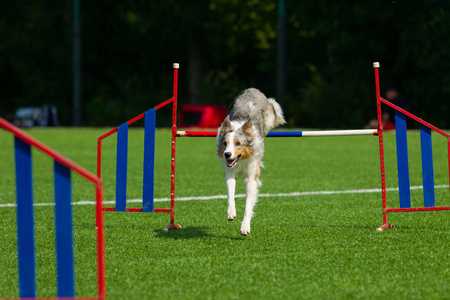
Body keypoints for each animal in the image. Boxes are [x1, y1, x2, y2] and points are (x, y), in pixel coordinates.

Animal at [217, 88, 286, 236]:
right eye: (225, 143)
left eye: (238, 143)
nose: (227, 154)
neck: (241, 159)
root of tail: (253, 89)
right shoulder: (230, 172)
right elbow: (230, 193)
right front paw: (231, 213)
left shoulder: (251, 177)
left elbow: (248, 204)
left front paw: (245, 227)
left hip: (270, 118)